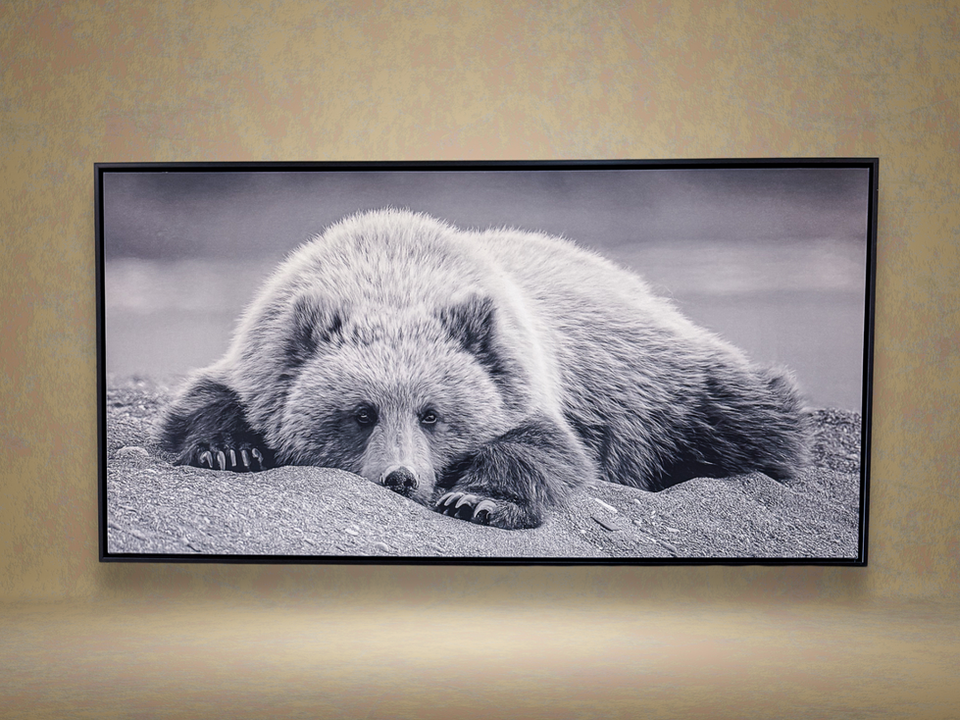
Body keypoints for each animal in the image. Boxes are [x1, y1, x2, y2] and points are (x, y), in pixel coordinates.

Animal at [157, 208, 810, 530]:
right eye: (362, 413)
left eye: (431, 413)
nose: (401, 477)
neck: (391, 272)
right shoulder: (265, 352)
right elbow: (208, 400)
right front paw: (229, 449)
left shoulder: (518, 373)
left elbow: (542, 447)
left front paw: (476, 501)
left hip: (661, 382)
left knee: (742, 414)